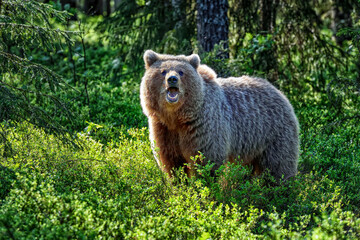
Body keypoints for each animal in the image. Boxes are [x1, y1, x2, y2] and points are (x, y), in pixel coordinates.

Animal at [139, 49, 300, 179]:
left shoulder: (203, 128)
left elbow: (206, 162)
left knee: (277, 167)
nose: (172, 79)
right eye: (163, 71)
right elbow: (173, 165)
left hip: (273, 134)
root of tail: (280, 92)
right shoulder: (164, 130)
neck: (177, 117)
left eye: (181, 72)